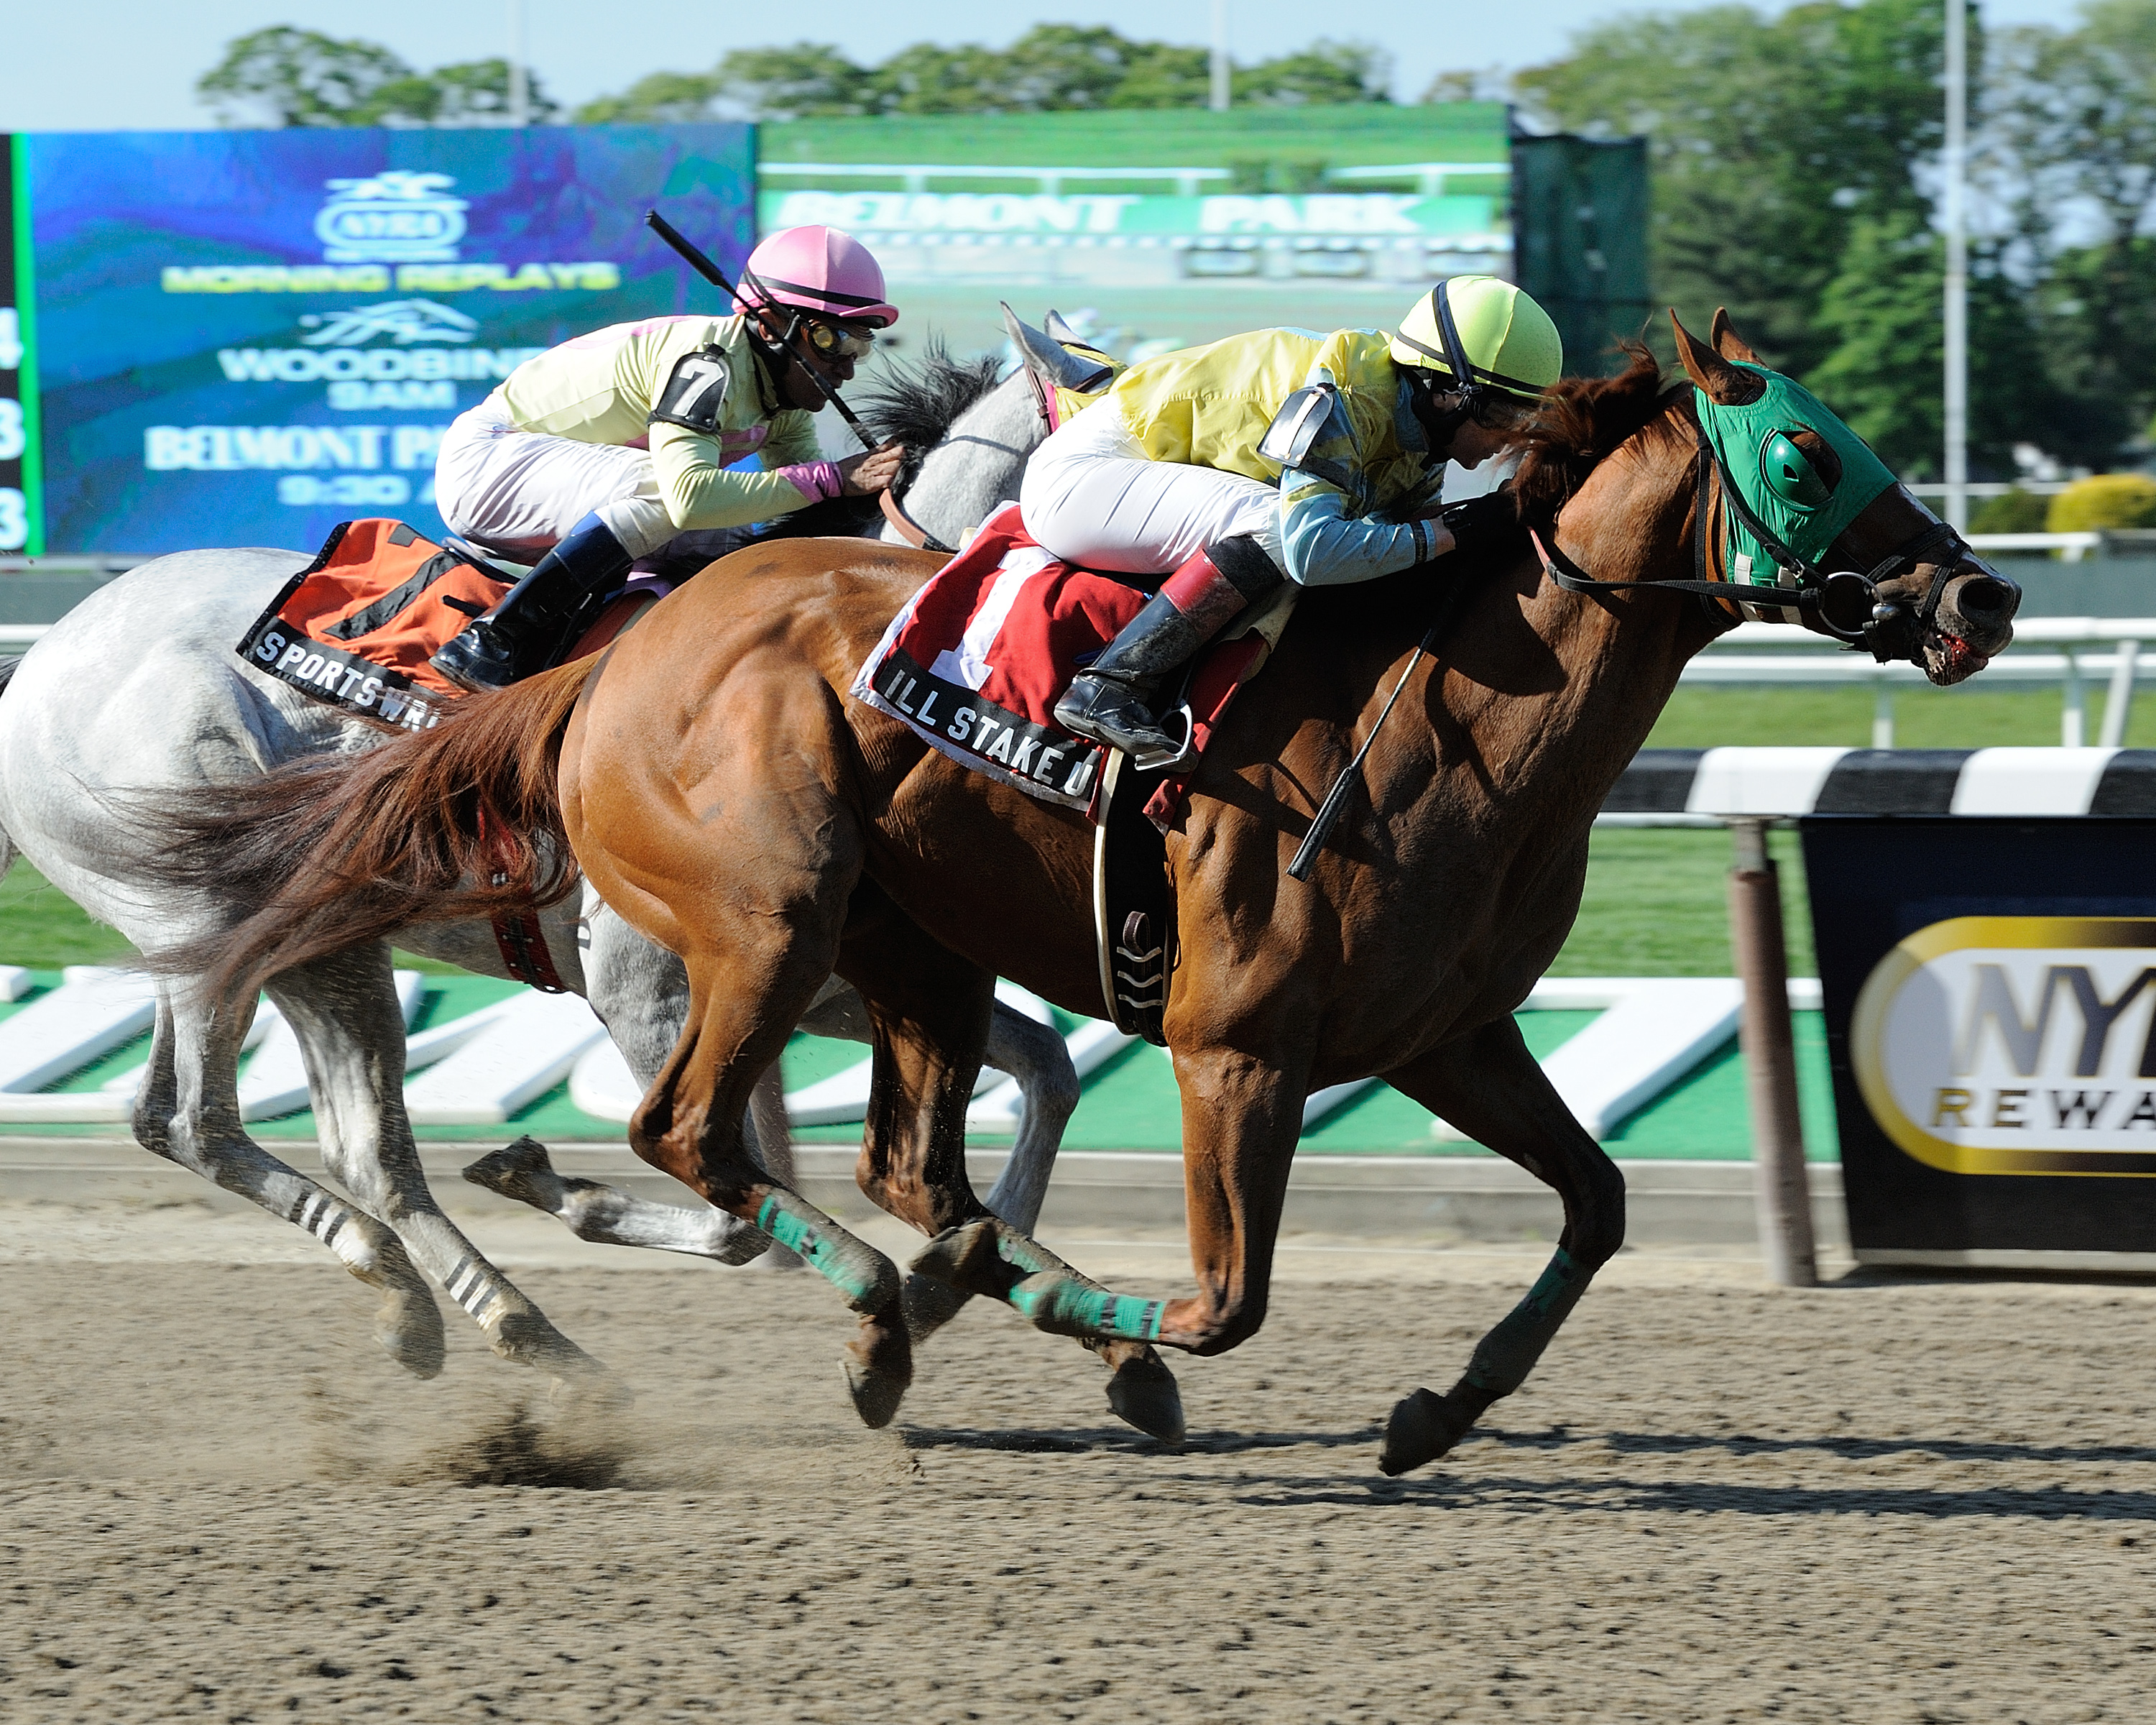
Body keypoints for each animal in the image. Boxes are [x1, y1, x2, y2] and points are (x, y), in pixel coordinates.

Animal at [0, 338, 1197, 1431]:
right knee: (202, 1123)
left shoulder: (832, 982)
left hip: (321, 946)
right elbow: (735, 1213)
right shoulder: (642, 988)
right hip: (220, 914)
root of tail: (48, 654)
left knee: (332, 1146)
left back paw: (481, 1323)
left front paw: (994, 1297)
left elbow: (1045, 1070)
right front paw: (561, 1187)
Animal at [133, 312, 2022, 1464]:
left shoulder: (1449, 1036)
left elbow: (1601, 1204)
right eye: (1805, 460)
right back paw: (847, 1307)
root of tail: (605, 662)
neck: (1457, 721)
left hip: (908, 951)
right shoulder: (1233, 1046)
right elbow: (1226, 1296)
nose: (1979, 599)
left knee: (889, 1155)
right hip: (761, 919)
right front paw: (1100, 1326)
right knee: (687, 1132)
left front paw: (1434, 1408)